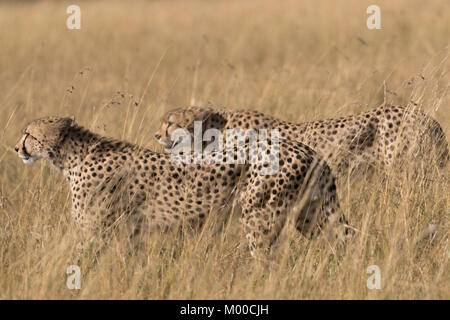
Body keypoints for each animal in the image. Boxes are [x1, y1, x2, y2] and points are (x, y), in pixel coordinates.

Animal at [14, 115, 350, 255]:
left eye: (29, 134)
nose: (17, 148)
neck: (71, 156)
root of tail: (307, 149)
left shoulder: (95, 230)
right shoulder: (130, 233)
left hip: (260, 216)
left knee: (264, 259)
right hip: (310, 215)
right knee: (339, 242)